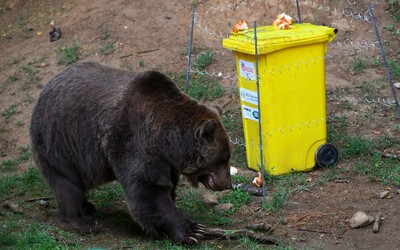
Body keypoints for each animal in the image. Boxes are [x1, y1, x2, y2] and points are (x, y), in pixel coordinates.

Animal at [30, 62, 231, 244]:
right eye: (222, 159)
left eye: (227, 156)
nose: (227, 183)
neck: (166, 140)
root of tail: (45, 89)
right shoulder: (134, 139)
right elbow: (148, 190)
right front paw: (193, 230)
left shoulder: (165, 160)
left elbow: (166, 186)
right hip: (61, 141)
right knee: (67, 184)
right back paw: (82, 223)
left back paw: (87, 206)